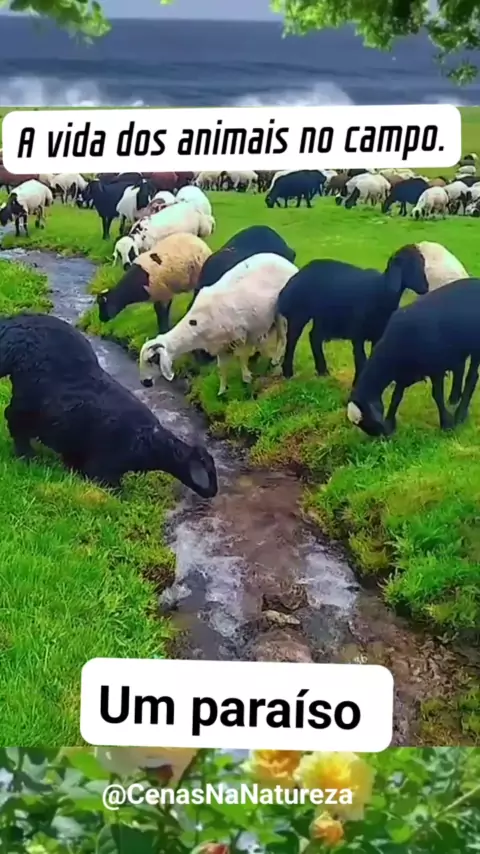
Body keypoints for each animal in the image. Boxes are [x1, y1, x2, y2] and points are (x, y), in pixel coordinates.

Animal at [0, 313, 218, 496]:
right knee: (13, 419)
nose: (213, 492)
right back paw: (27, 455)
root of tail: (14, 327)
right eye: (207, 472)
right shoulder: (105, 463)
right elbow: (105, 481)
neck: (149, 441)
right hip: (27, 403)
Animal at [139, 253, 299, 396]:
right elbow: (221, 368)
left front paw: (246, 379)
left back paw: (276, 359)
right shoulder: (220, 344)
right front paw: (222, 391)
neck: (196, 326)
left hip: (280, 312)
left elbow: (241, 357)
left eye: (152, 359)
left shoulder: (238, 335)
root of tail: (286, 262)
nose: (145, 383)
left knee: (283, 337)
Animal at [278, 244, 431, 385]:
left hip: (323, 316)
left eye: (422, 265)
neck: (380, 291)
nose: (425, 288)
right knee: (292, 340)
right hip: (300, 314)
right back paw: (288, 373)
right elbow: (360, 359)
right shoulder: (357, 334)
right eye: (409, 266)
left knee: (314, 337)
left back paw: (323, 371)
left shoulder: (378, 335)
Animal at [347, 278, 480, 436]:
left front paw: (447, 424)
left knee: (472, 378)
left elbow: (437, 395)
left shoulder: (436, 368)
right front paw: (391, 424)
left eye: (368, 419)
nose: (382, 436)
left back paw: (460, 414)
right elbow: (396, 397)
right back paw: (454, 401)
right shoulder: (403, 373)